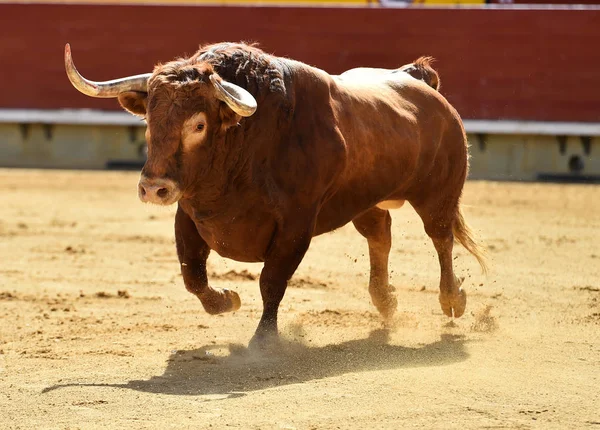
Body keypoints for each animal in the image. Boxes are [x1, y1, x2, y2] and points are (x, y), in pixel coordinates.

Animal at [64, 42, 488, 348]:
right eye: (149, 121)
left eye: (198, 124)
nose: (154, 188)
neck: (246, 144)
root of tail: (421, 84)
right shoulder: (188, 214)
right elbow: (193, 274)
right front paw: (227, 300)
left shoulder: (296, 225)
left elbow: (272, 281)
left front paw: (263, 340)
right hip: (366, 201)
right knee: (379, 236)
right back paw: (386, 301)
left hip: (438, 193)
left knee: (440, 237)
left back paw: (452, 299)